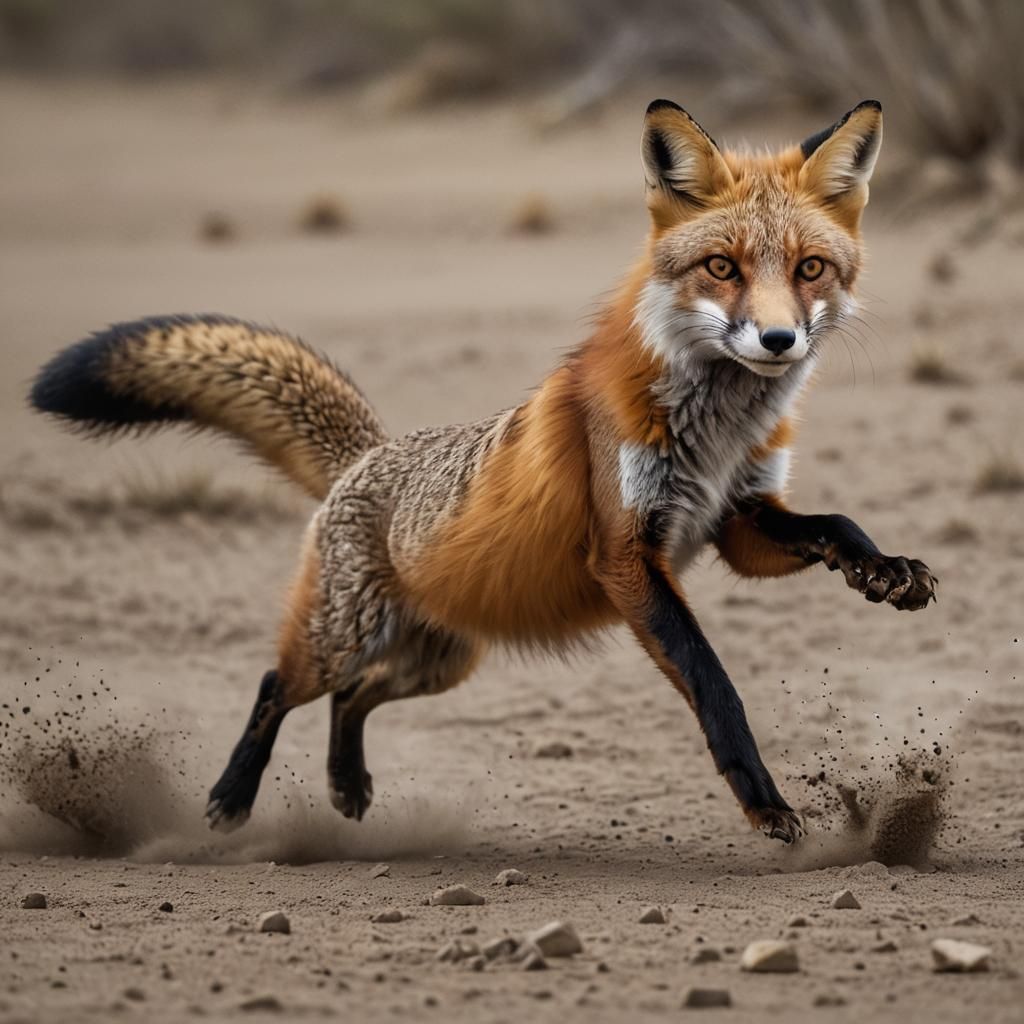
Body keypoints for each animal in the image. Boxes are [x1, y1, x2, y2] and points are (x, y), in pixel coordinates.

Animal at [30, 99, 936, 845]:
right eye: (722, 267)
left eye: (810, 269)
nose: (779, 341)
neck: (713, 434)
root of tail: (366, 455)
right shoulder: (625, 554)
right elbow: (715, 684)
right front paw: (764, 801)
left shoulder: (738, 516)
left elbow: (834, 525)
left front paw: (886, 571)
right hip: (346, 638)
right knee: (276, 684)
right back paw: (230, 798)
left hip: (440, 659)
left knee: (352, 699)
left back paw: (347, 785)